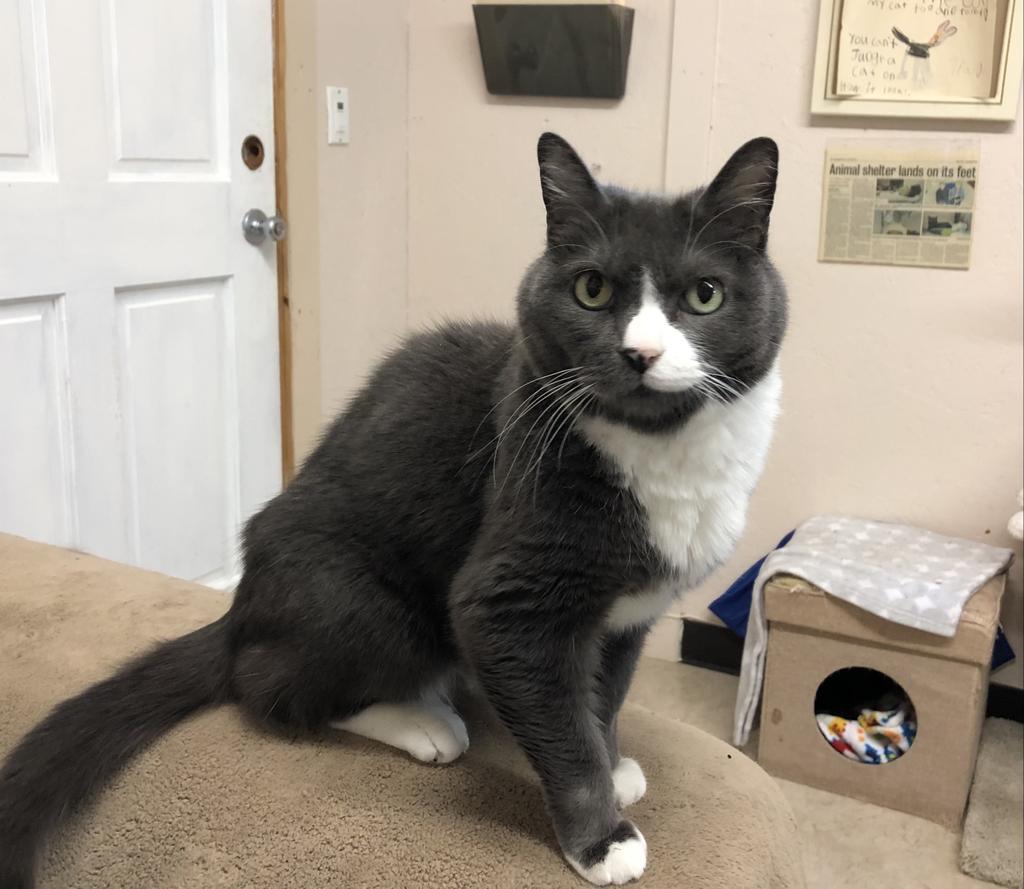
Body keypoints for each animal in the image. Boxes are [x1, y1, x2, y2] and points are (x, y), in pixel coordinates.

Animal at [0, 134, 786, 889]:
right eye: (592, 289)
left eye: (705, 295)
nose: (640, 353)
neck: (662, 454)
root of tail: (241, 609)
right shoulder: (509, 595)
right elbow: (559, 720)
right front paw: (601, 839)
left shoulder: (627, 616)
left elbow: (604, 694)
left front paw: (613, 763)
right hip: (359, 601)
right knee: (271, 686)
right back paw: (422, 721)